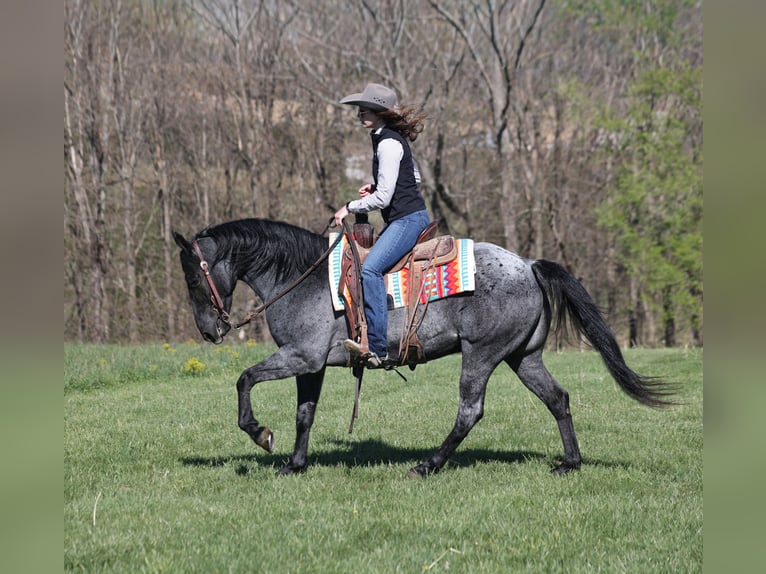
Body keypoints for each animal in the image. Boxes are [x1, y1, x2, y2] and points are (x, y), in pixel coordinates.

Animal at [172, 217, 672, 478]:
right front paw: (294, 465)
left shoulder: (301, 357)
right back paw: (569, 463)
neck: (302, 277)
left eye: (193, 278)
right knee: (558, 399)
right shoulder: (311, 365)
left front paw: (259, 433)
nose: (209, 332)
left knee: (470, 411)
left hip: (481, 355)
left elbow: (245, 379)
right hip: (522, 356)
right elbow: (304, 414)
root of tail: (528, 265)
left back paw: (427, 465)